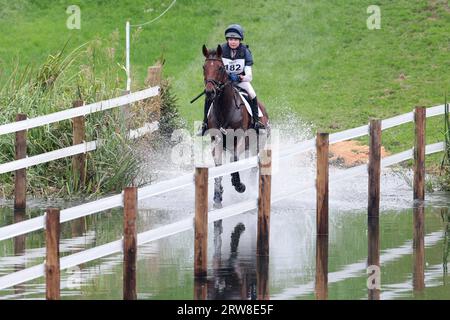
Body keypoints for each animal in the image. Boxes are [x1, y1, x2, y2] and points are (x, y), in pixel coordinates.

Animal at [201, 45, 270, 210]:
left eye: (220, 68)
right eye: (204, 67)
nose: (209, 92)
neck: (224, 109)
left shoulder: (241, 139)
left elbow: (235, 160)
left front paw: (239, 185)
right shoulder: (217, 141)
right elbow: (219, 165)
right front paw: (217, 197)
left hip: (258, 144)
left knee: (253, 166)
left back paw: (249, 187)